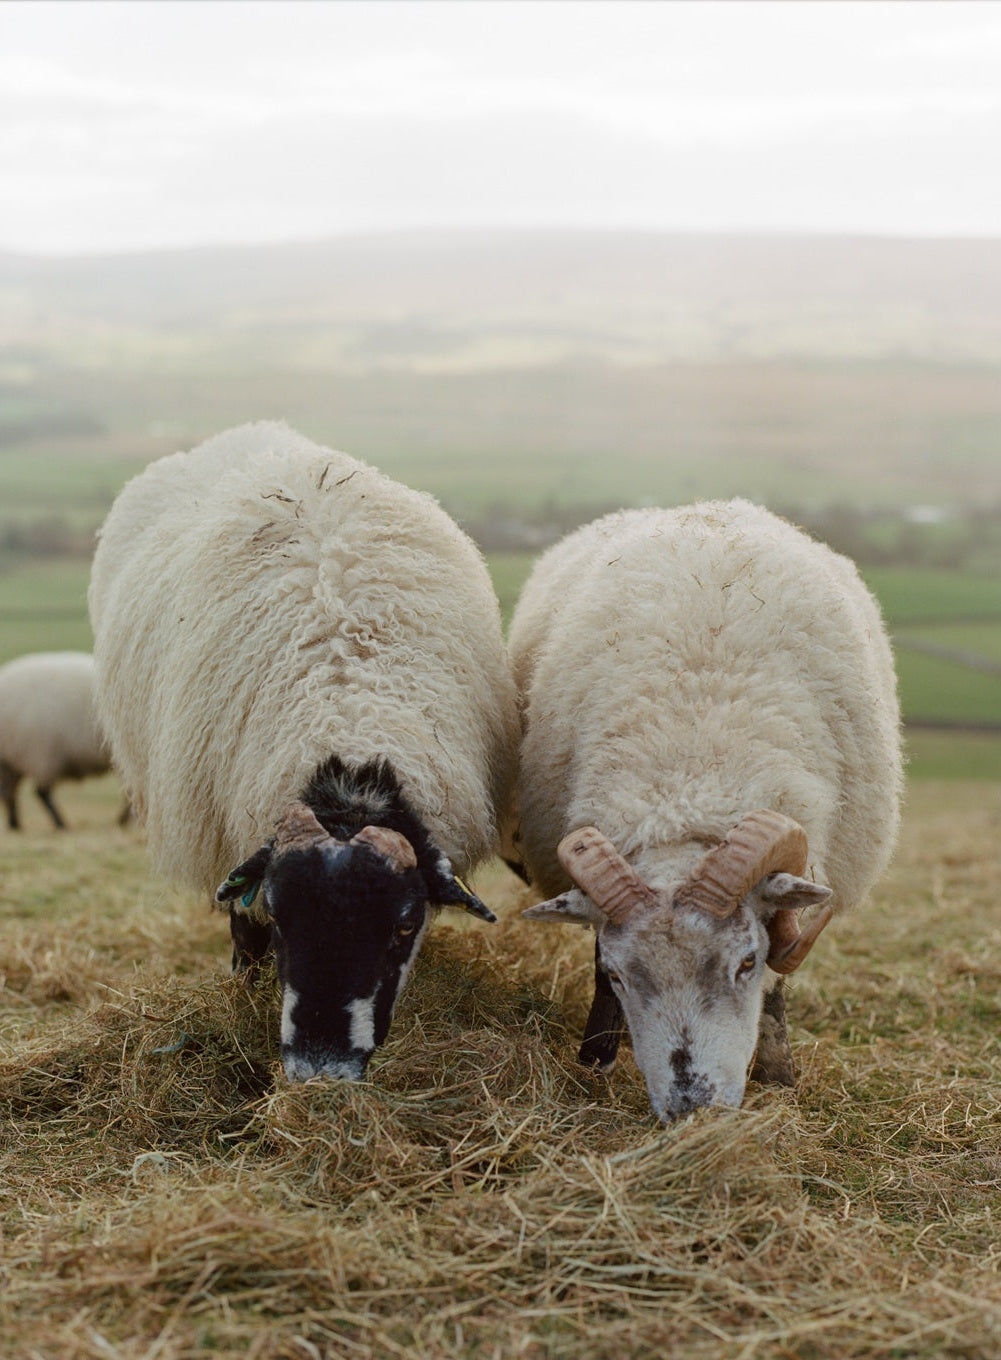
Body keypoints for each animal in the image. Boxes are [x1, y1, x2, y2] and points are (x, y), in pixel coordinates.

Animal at [0, 651, 119, 830]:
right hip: (39, 753)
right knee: (41, 792)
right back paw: (61, 823)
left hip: (10, 762)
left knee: (9, 793)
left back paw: (15, 825)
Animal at [89, 420, 520, 1082]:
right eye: (281, 914)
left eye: (402, 925)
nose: (322, 1071)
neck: (348, 717)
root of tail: (250, 433)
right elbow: (244, 930)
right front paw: (244, 988)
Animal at [509, 498, 902, 1122]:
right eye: (618, 974)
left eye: (746, 962)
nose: (693, 1109)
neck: (691, 784)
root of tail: (710, 507)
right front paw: (596, 1059)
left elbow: (779, 983)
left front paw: (778, 1073)